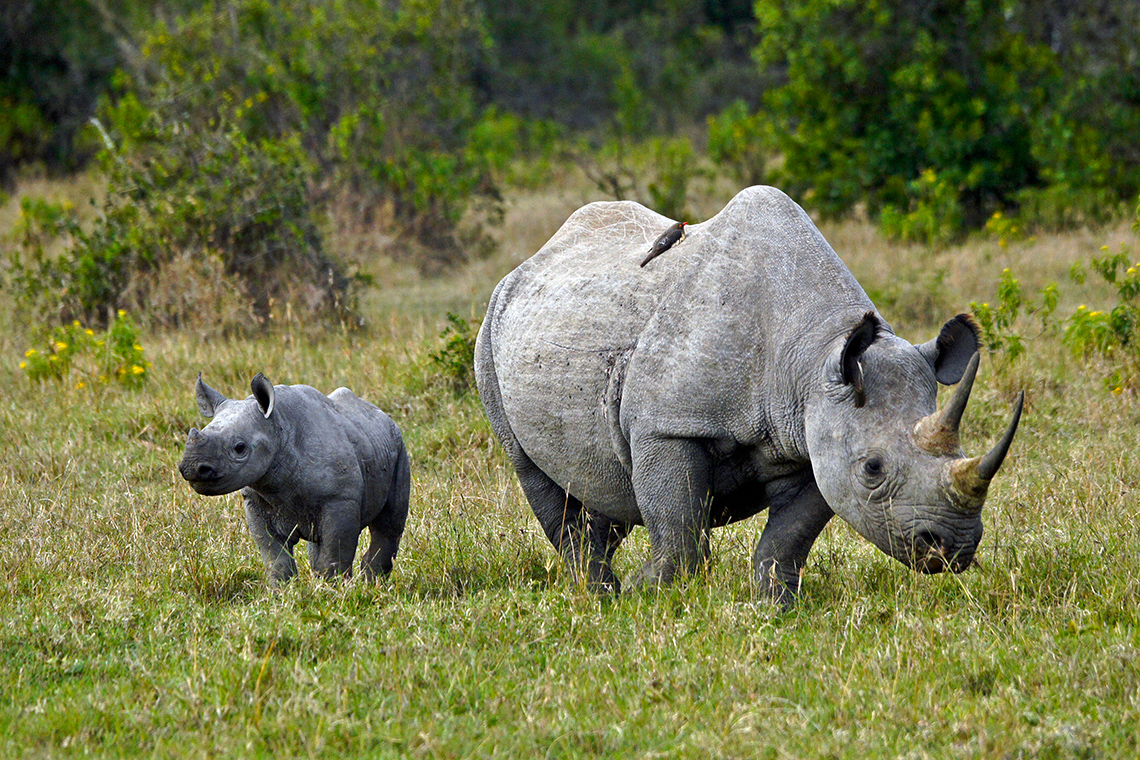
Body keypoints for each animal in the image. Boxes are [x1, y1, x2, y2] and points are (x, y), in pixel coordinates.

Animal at [177, 373, 410, 583]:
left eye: (240, 448)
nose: (191, 467)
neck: (278, 429)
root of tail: (382, 414)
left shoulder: (340, 499)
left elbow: (335, 552)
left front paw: (333, 592)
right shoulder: (256, 501)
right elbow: (276, 557)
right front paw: (281, 593)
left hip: (399, 448)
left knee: (388, 526)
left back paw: (373, 584)